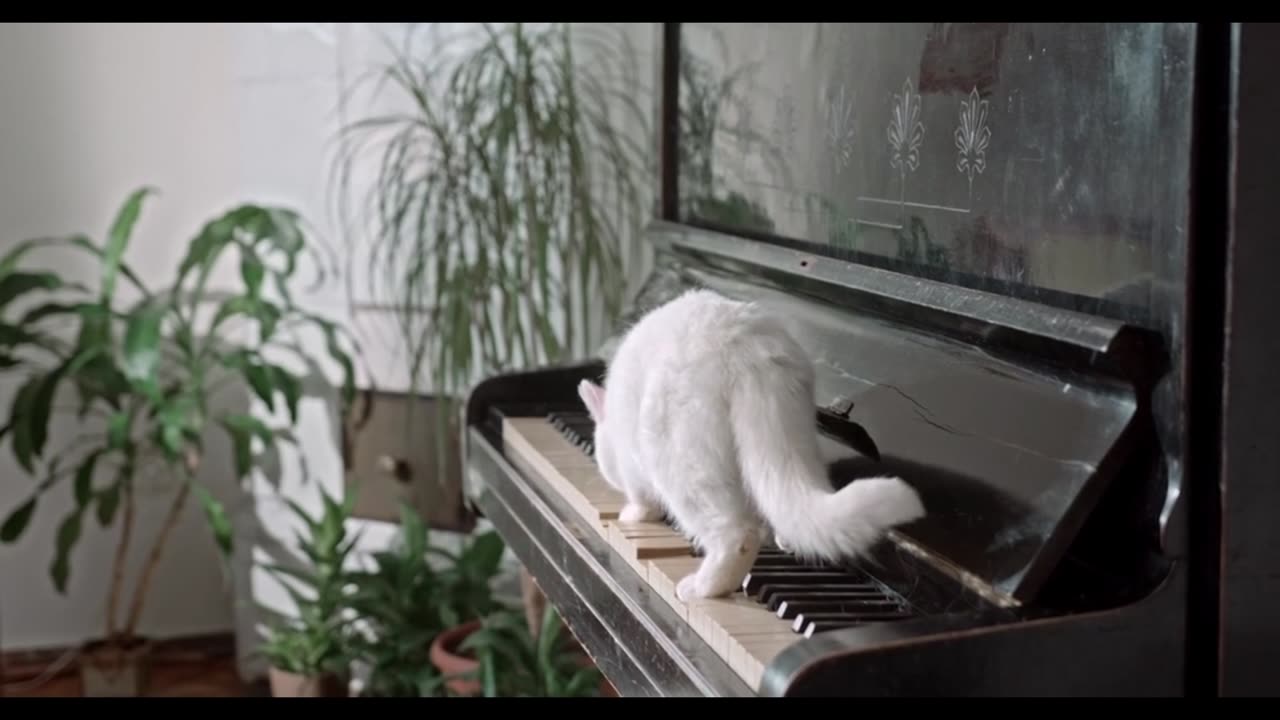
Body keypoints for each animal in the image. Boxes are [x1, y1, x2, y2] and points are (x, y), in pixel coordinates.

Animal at [578, 285, 921, 599]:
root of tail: (744, 348)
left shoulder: (633, 467)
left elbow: (641, 497)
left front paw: (633, 514)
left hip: (681, 461)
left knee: (735, 535)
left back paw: (704, 587)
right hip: (796, 439)